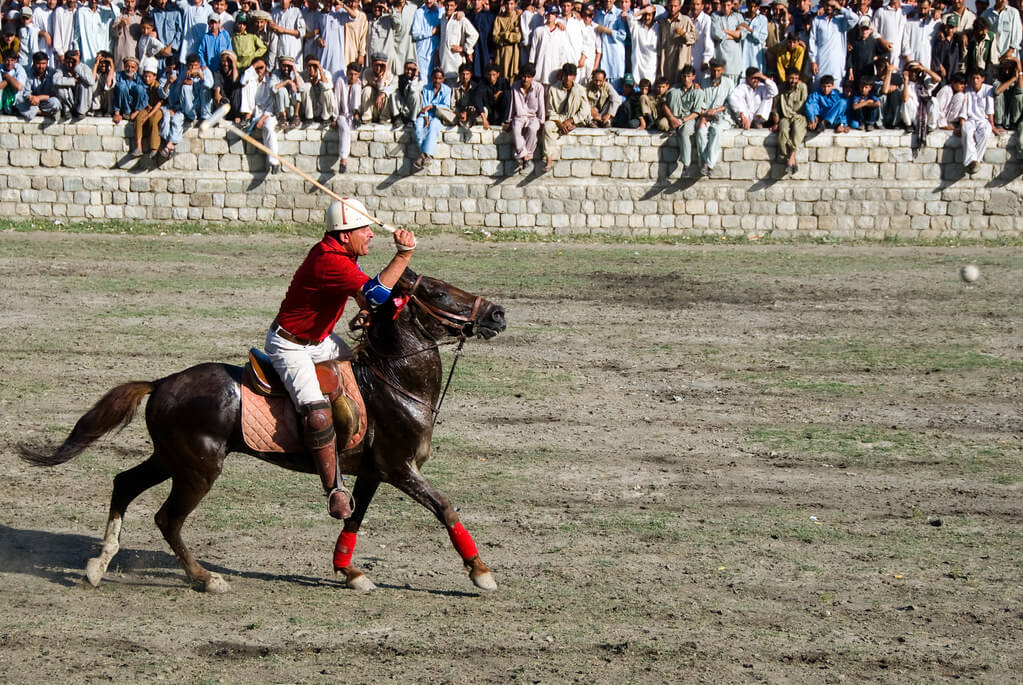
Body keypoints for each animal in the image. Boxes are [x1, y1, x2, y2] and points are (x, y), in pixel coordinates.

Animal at [19, 271, 507, 592]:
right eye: (440, 291)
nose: (499, 314)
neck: (395, 379)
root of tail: (161, 382)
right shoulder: (400, 468)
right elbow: (444, 507)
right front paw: (481, 572)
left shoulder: (374, 471)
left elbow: (353, 517)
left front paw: (350, 572)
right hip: (199, 469)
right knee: (167, 518)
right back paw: (205, 579)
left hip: (170, 458)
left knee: (124, 483)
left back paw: (98, 565)